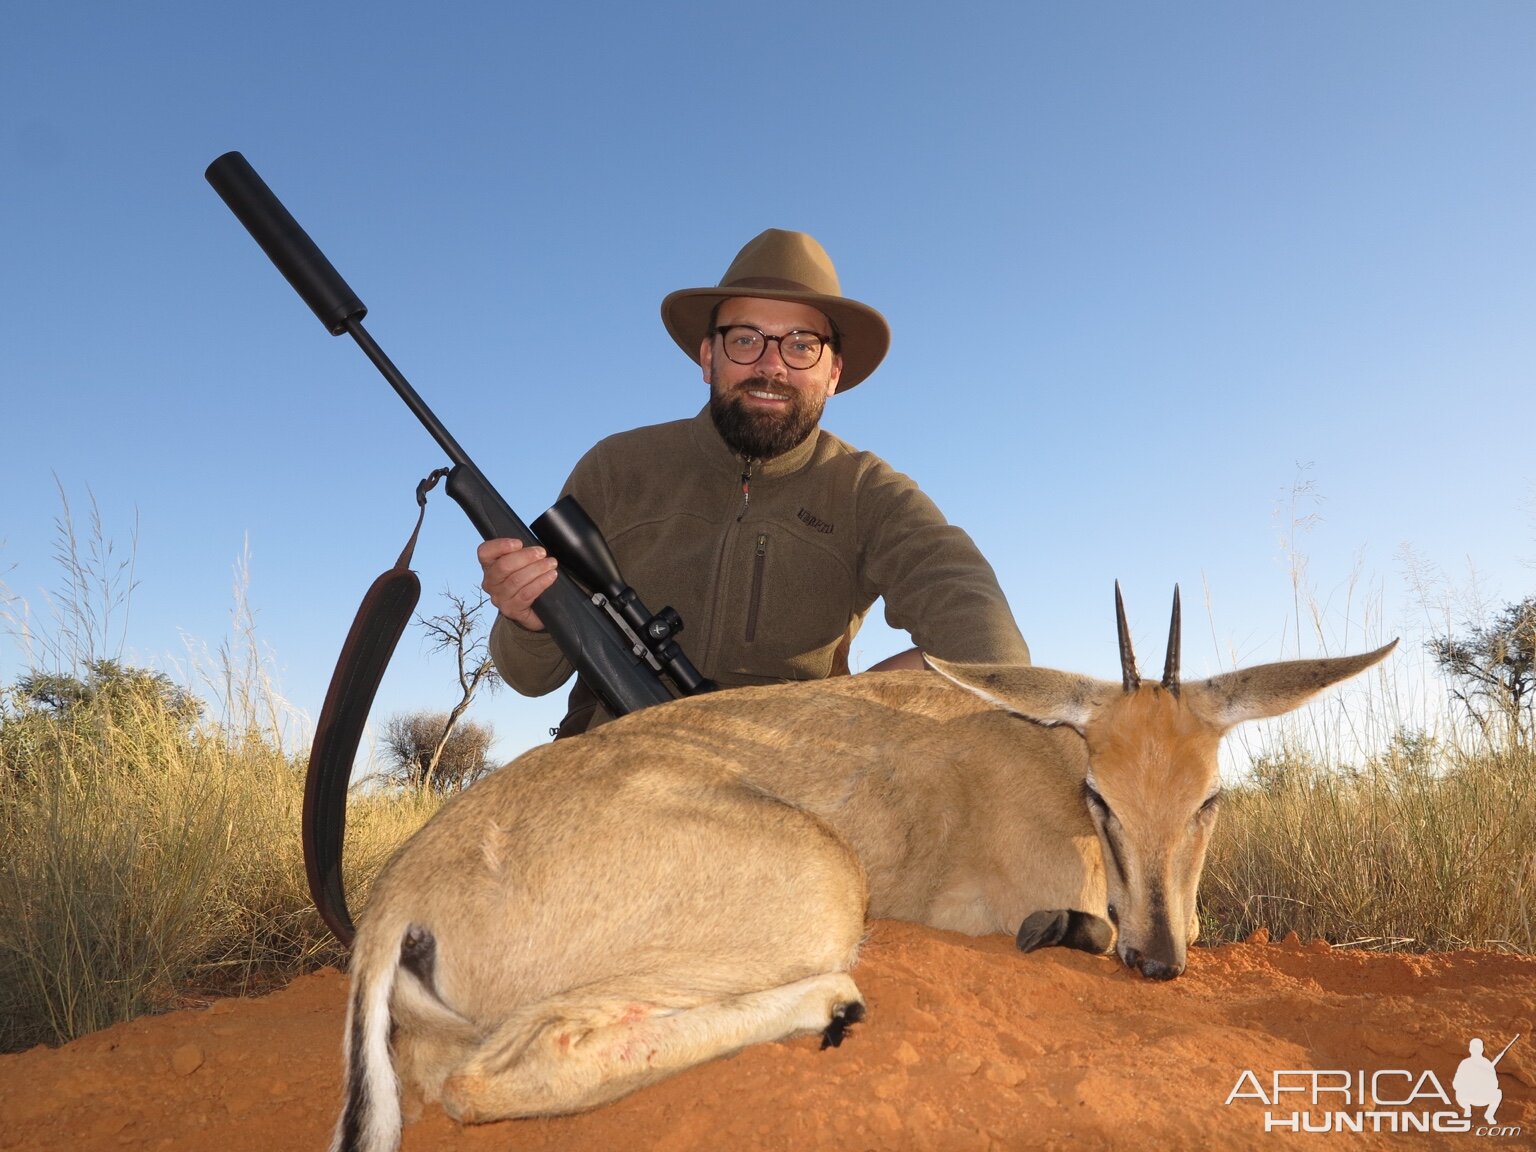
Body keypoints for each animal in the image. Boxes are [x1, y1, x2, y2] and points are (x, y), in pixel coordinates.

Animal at [333, 589, 1394, 1148]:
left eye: (1209, 797)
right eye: (1102, 797)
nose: (1161, 962)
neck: (1039, 751)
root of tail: (398, 899)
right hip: (820, 890)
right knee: (501, 1074)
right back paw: (830, 1003)